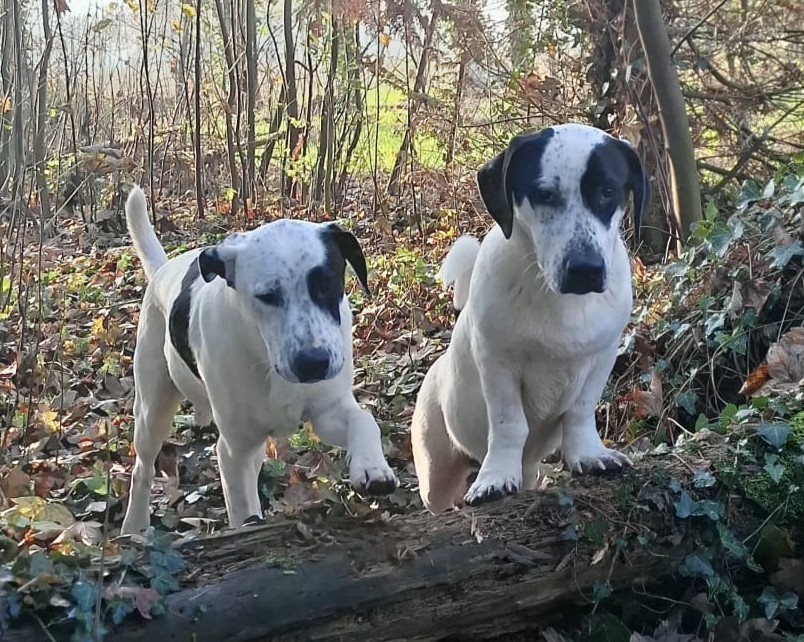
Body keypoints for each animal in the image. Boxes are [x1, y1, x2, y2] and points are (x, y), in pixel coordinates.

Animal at [120, 186, 397, 534]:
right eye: (267, 296)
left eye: (327, 284)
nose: (313, 363)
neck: (265, 360)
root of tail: (163, 270)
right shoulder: (234, 450)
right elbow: (242, 511)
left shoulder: (327, 409)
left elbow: (364, 419)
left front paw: (372, 467)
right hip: (152, 407)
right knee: (142, 467)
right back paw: (134, 524)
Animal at [411, 123, 649, 513]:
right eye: (544, 194)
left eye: (608, 191)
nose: (585, 269)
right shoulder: (497, 364)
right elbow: (509, 425)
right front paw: (494, 478)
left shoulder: (603, 355)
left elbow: (581, 410)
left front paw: (588, 454)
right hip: (435, 470)